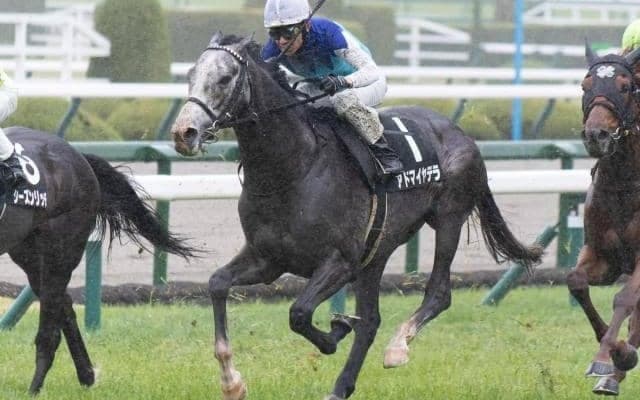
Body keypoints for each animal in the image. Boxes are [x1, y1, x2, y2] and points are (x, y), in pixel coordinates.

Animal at [0, 127, 196, 394]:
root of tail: (78, 155)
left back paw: (35, 389)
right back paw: (86, 375)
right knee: (65, 305)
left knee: (50, 328)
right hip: (28, 254)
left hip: (61, 251)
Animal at [171, 33, 542, 400]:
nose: (184, 132)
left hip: (448, 218)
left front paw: (336, 330)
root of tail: (460, 132)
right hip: (376, 251)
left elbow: (299, 313)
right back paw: (341, 387)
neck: (293, 169)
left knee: (438, 293)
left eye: (224, 78)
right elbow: (218, 283)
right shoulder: (268, 259)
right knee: (372, 320)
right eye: (190, 75)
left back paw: (397, 347)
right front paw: (232, 381)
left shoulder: (340, 261)